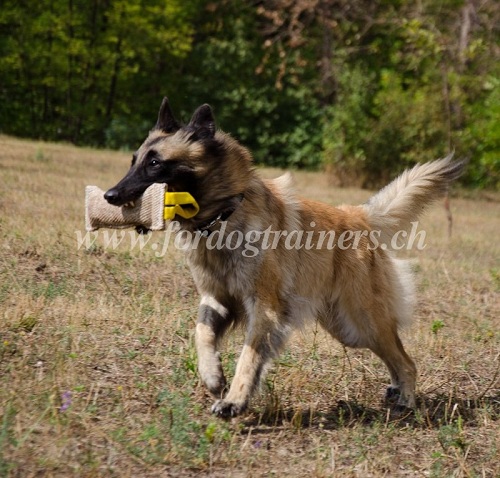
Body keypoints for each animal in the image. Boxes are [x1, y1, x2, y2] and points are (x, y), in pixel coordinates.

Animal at [104, 98, 464, 418]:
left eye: (155, 163)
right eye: (134, 161)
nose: (110, 195)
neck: (224, 215)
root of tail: (357, 215)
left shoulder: (264, 308)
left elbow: (248, 358)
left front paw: (234, 401)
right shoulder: (216, 298)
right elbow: (202, 333)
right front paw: (213, 376)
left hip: (364, 322)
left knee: (406, 361)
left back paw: (406, 401)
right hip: (349, 329)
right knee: (395, 358)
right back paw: (395, 391)